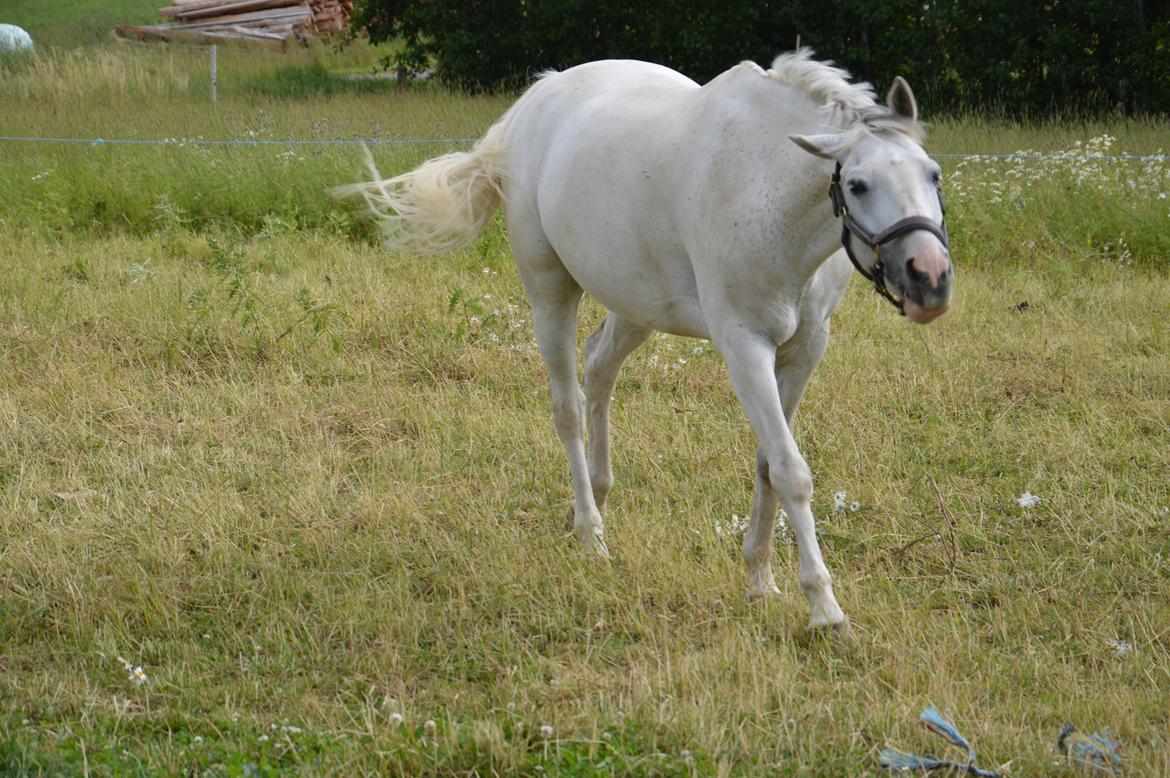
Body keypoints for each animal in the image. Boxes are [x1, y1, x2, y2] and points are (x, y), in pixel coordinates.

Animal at [339, 48, 950, 636]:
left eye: (934, 174)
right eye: (857, 184)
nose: (930, 278)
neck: (762, 184)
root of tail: (537, 98)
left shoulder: (804, 351)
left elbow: (766, 464)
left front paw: (759, 577)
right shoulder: (744, 346)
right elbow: (790, 472)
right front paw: (825, 609)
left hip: (635, 307)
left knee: (598, 369)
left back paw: (598, 496)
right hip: (549, 291)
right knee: (567, 407)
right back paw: (590, 533)